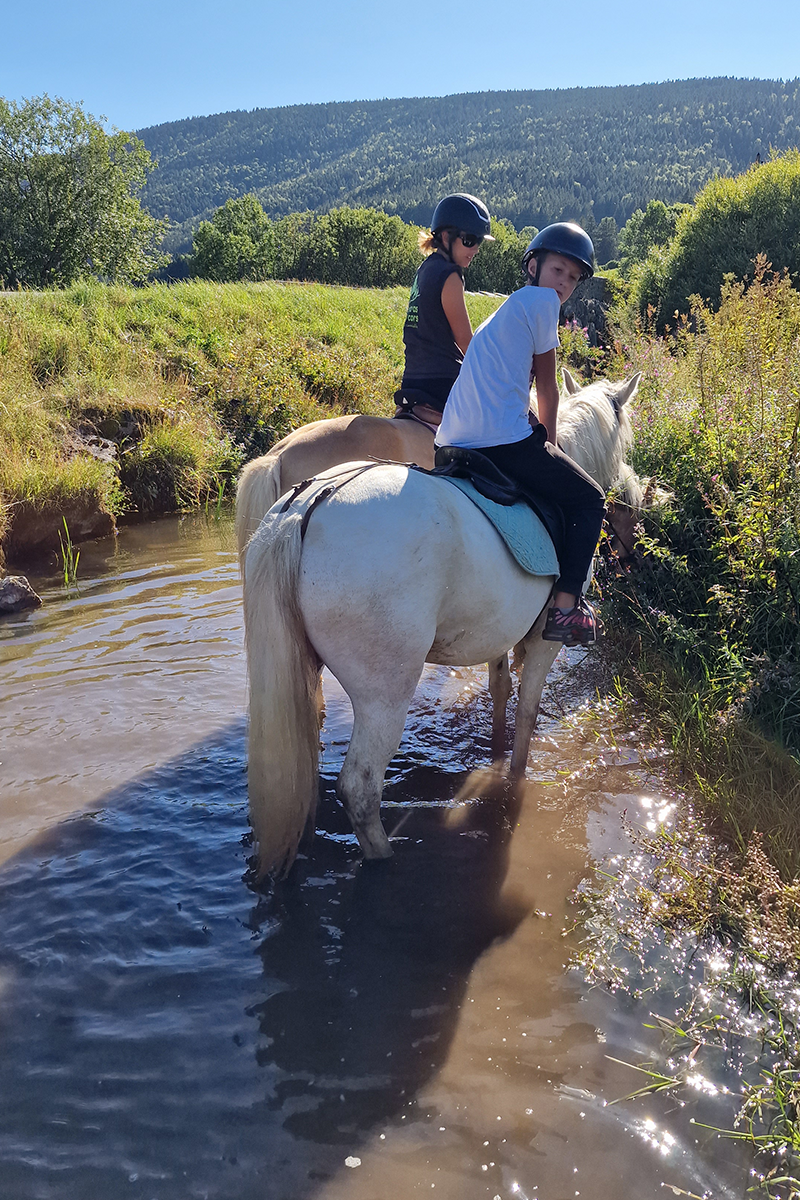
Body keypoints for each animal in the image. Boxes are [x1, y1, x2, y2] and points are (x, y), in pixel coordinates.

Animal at [243, 373, 641, 877]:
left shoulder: (499, 629)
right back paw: (386, 862)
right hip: (385, 693)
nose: (634, 558)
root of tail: (304, 507)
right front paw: (514, 780)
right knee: (360, 787)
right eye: (628, 503)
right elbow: (527, 713)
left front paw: (493, 753)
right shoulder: (544, 642)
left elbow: (500, 691)